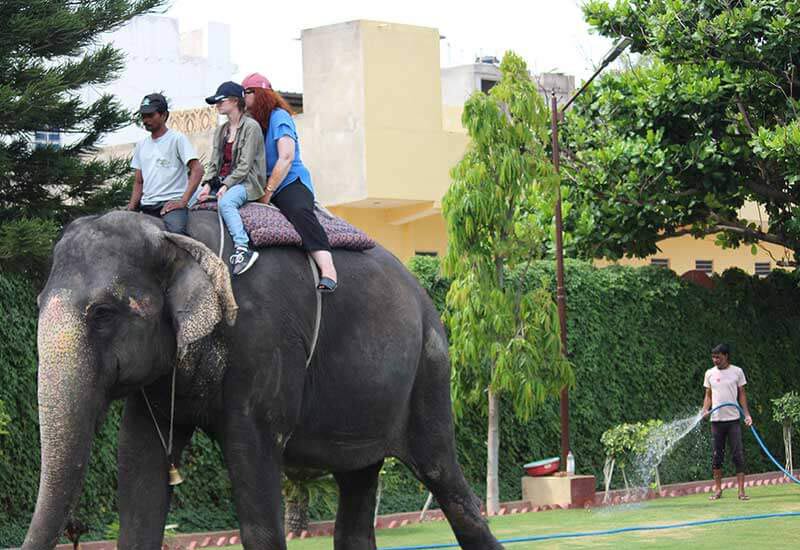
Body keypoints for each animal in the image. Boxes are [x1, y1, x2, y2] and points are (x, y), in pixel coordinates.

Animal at [23, 212, 500, 550]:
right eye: (39, 303)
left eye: (103, 314)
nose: (75, 529)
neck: (175, 232)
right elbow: (139, 466)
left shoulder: (262, 340)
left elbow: (251, 460)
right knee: (357, 485)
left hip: (430, 366)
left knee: (444, 478)